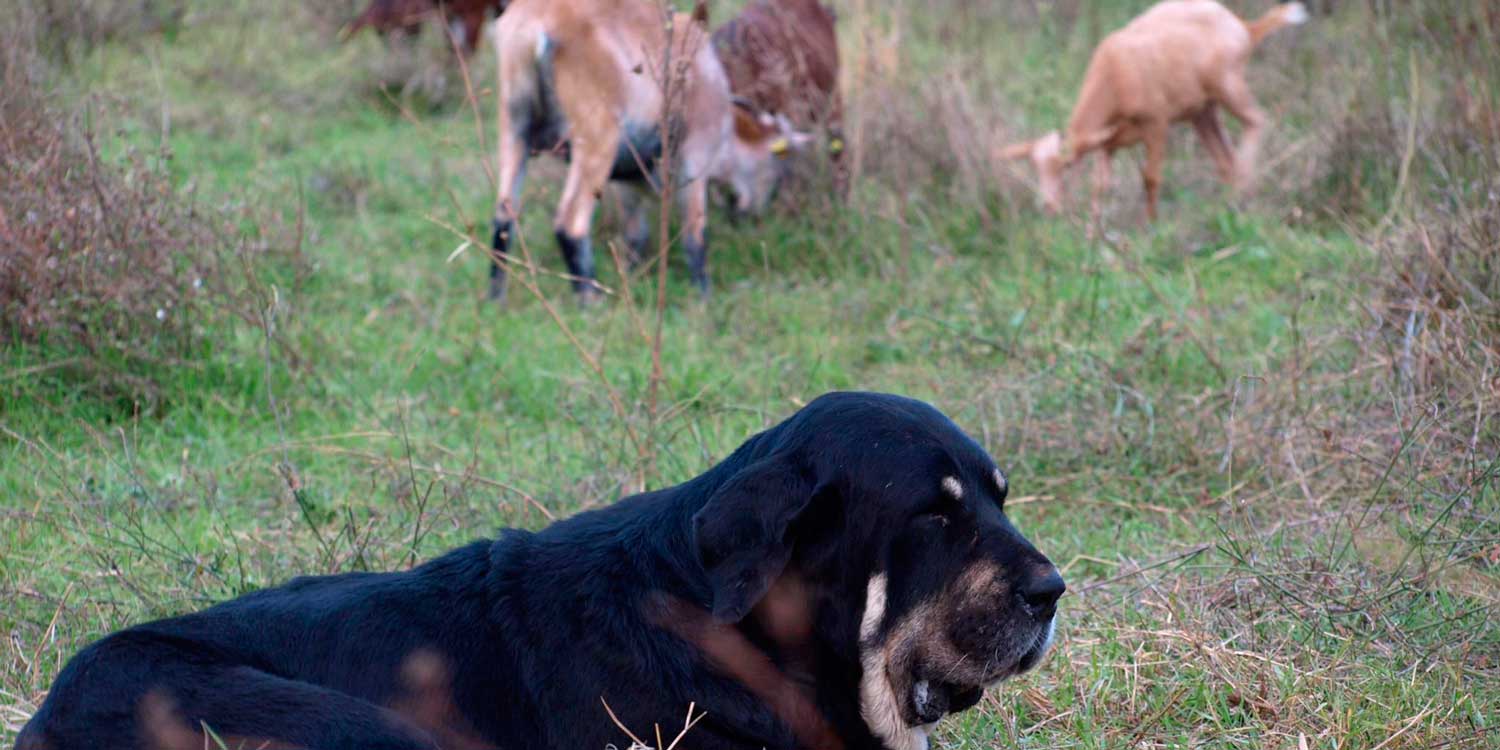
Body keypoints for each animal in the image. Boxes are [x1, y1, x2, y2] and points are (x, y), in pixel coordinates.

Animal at [486, 0, 804, 304]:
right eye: (778, 164)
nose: (754, 215)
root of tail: (537, 25)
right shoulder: (695, 158)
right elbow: (695, 233)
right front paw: (703, 297)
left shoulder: (628, 178)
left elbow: (636, 234)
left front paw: (631, 278)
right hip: (596, 139)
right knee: (570, 223)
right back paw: (591, 301)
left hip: (514, 127)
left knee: (504, 215)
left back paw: (495, 299)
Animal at [1002, 0, 1308, 222]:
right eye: (1035, 167)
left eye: (1065, 166)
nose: (1048, 207)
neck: (1115, 70)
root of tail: (1243, 27)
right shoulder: (1106, 143)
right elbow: (1100, 186)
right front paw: (1093, 235)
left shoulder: (1157, 124)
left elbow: (1150, 178)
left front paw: (1151, 224)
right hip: (1201, 110)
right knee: (1224, 158)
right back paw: (1231, 200)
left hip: (1228, 85)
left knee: (1256, 121)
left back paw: (1245, 186)